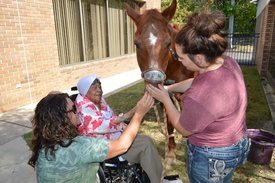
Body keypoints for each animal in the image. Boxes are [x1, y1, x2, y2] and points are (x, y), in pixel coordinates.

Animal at [126, 0, 195, 159]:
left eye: (168, 43)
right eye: (136, 44)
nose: (153, 83)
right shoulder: (166, 94)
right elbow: (169, 122)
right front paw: (170, 151)